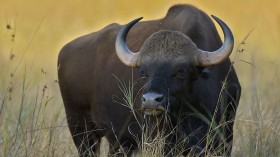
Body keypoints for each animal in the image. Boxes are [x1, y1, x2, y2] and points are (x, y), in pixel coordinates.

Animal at [57, 4, 241, 156]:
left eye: (181, 71)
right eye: (144, 71)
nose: (151, 100)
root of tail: (65, 51)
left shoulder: (224, 138)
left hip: (119, 142)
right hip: (81, 131)